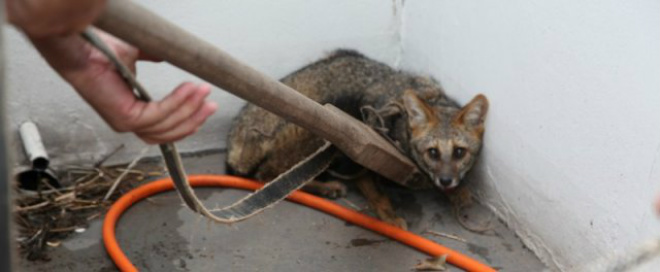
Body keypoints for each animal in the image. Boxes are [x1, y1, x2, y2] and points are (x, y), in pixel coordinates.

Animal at [224, 50, 488, 228]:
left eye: (459, 152)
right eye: (433, 152)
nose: (446, 180)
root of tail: (237, 134)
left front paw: (459, 192)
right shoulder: (361, 154)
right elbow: (377, 192)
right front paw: (390, 215)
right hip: (327, 118)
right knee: (268, 175)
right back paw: (324, 187)